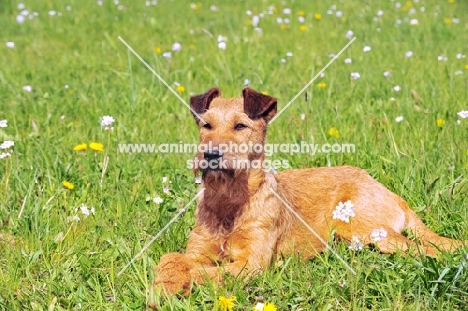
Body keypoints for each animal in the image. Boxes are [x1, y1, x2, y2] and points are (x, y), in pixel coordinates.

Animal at [153, 88, 464, 298]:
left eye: (240, 125)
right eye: (206, 125)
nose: (211, 154)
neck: (230, 203)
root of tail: (389, 192)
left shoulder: (251, 264)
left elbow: (202, 271)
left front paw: (172, 284)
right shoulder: (199, 249)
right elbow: (175, 258)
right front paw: (165, 279)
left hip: (367, 229)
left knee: (427, 249)